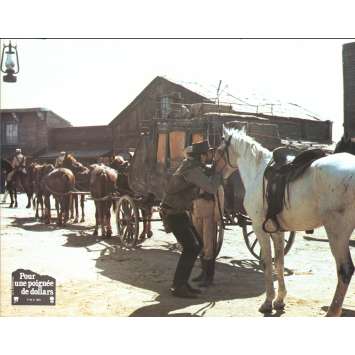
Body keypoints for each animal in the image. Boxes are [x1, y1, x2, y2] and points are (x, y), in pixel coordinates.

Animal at [216, 127, 355, 318]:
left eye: (218, 150)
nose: (212, 170)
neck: (257, 171)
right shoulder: (277, 231)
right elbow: (279, 263)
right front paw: (279, 300)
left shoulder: (259, 228)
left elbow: (267, 263)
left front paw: (268, 302)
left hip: (337, 233)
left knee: (345, 270)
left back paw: (332, 312)